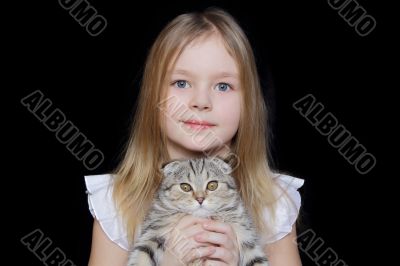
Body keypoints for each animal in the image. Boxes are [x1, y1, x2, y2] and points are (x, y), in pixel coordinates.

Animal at [126, 157, 268, 264]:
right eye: (185, 187)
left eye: (212, 185)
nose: (200, 199)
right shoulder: (154, 232)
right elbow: (141, 256)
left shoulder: (247, 236)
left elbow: (257, 260)